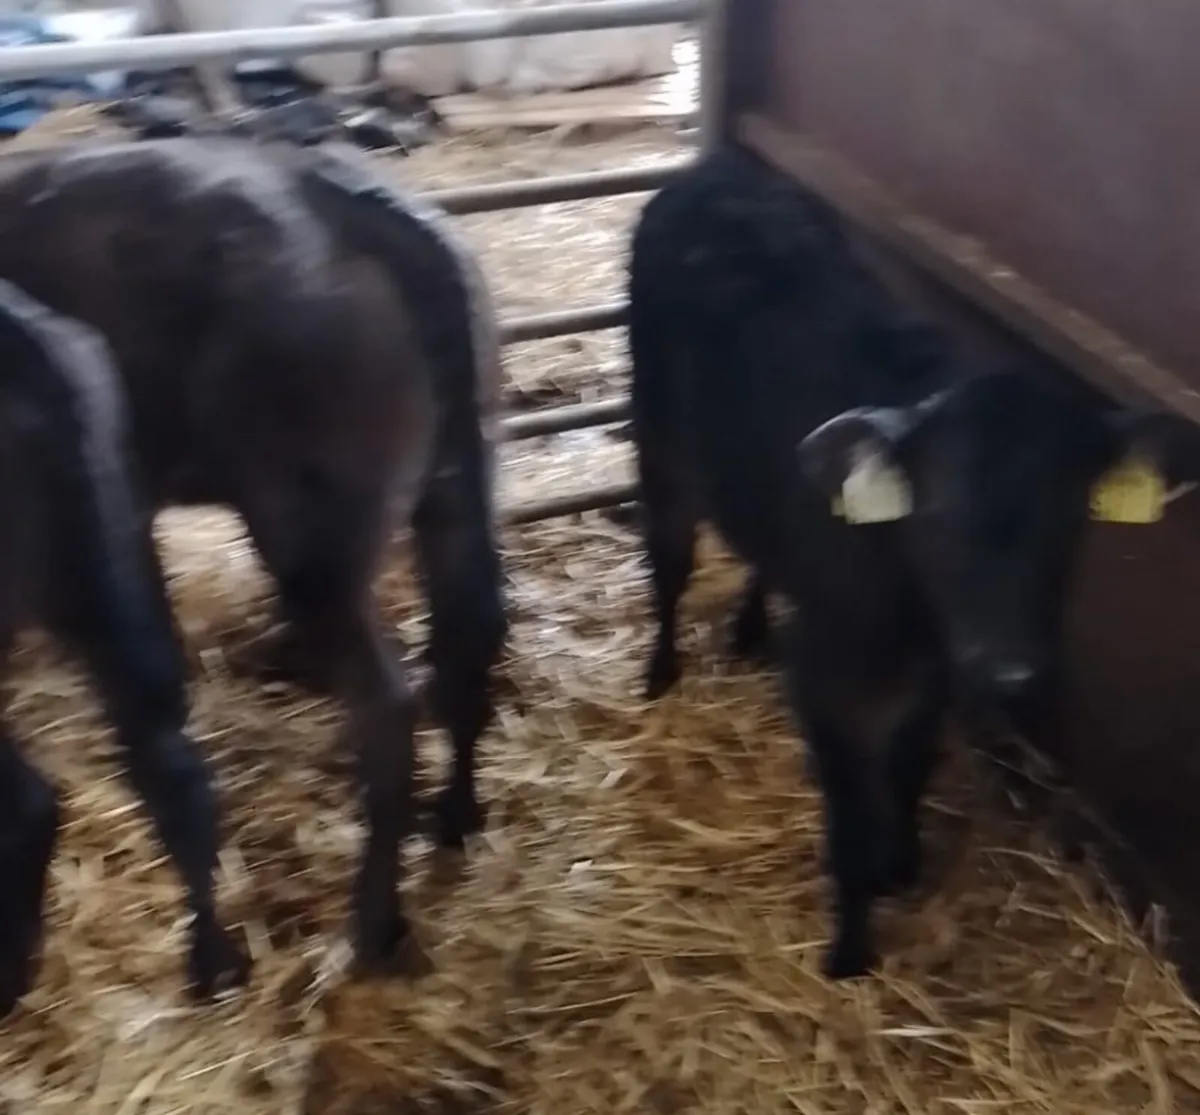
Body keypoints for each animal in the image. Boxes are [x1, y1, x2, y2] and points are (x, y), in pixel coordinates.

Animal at [0, 135, 507, 1004]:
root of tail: (340, 205)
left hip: (312, 544)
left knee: (386, 701)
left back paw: (368, 925)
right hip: (453, 484)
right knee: (466, 638)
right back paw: (454, 817)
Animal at [628, 146, 1200, 979]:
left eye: (1071, 518)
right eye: (936, 513)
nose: (1010, 670)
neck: (910, 607)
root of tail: (715, 167)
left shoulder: (934, 672)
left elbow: (909, 762)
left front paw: (900, 860)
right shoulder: (828, 679)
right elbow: (848, 810)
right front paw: (849, 947)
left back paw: (748, 629)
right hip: (660, 442)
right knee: (668, 557)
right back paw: (660, 668)